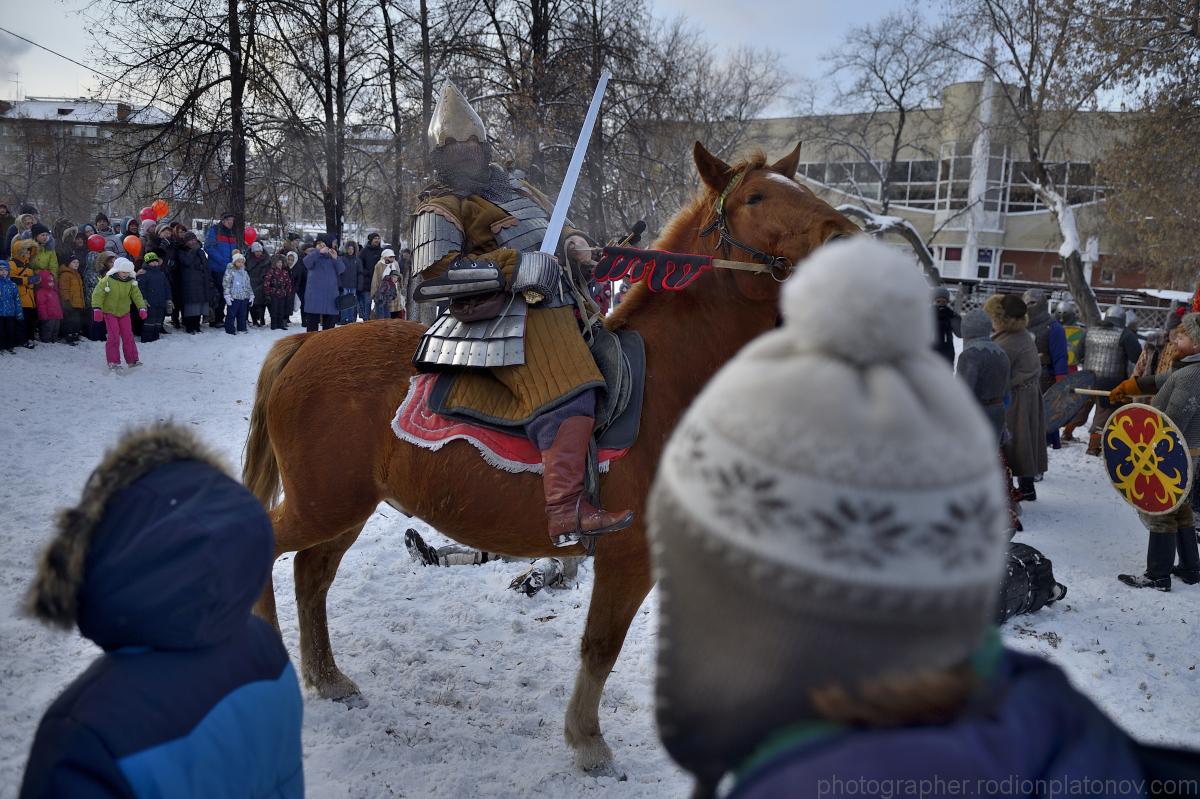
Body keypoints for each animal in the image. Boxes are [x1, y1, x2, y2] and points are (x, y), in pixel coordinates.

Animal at [243, 141, 859, 767]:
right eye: (756, 197)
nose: (847, 238)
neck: (664, 378)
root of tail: (305, 343)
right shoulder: (629, 557)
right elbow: (602, 645)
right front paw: (587, 741)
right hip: (326, 504)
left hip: (346, 507)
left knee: (312, 575)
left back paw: (327, 676)